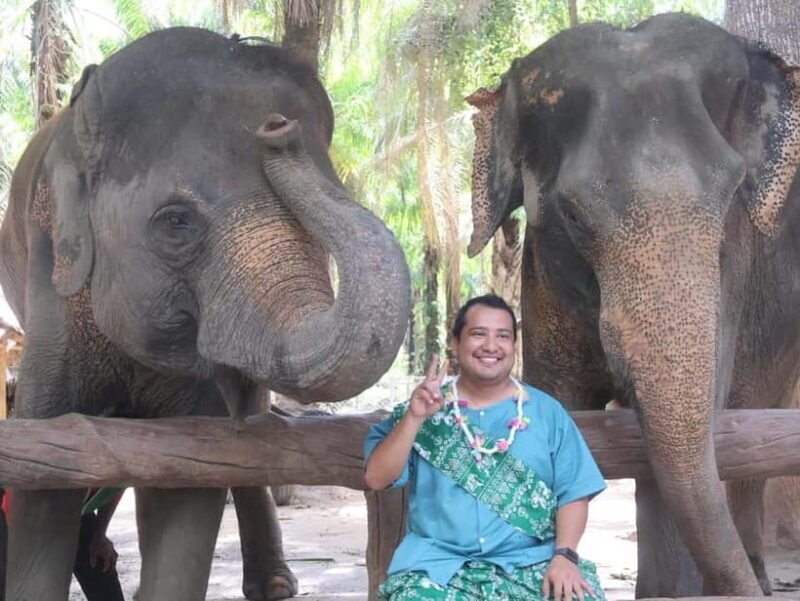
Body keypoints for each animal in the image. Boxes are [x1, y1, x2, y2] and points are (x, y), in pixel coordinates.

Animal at [0, 27, 410, 601]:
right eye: (177, 222)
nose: (278, 129)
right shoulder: (53, 289)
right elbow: (44, 482)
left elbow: (189, 480)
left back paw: (274, 585)